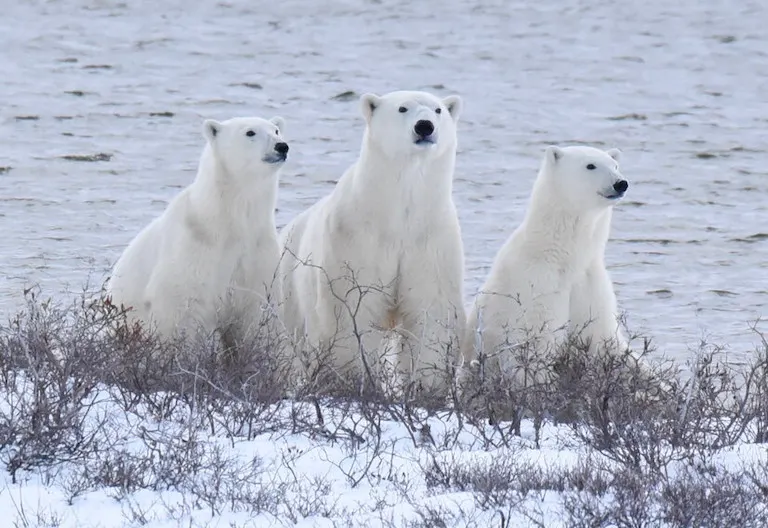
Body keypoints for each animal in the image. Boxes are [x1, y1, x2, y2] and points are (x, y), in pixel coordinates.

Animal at [107, 115, 289, 348]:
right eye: (250, 132)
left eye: (276, 130)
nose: (281, 146)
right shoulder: (194, 246)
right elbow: (181, 309)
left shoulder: (257, 249)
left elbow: (258, 311)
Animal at [278, 90, 466, 397]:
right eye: (402, 108)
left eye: (438, 110)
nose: (425, 126)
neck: (398, 215)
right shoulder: (356, 239)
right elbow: (351, 308)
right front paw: (350, 380)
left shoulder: (430, 241)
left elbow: (432, 310)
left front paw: (427, 387)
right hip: (287, 283)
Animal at [463, 145, 629, 386]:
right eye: (590, 165)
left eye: (615, 165)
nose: (621, 183)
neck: (560, 256)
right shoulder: (538, 286)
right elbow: (534, 348)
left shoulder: (588, 283)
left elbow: (604, 338)